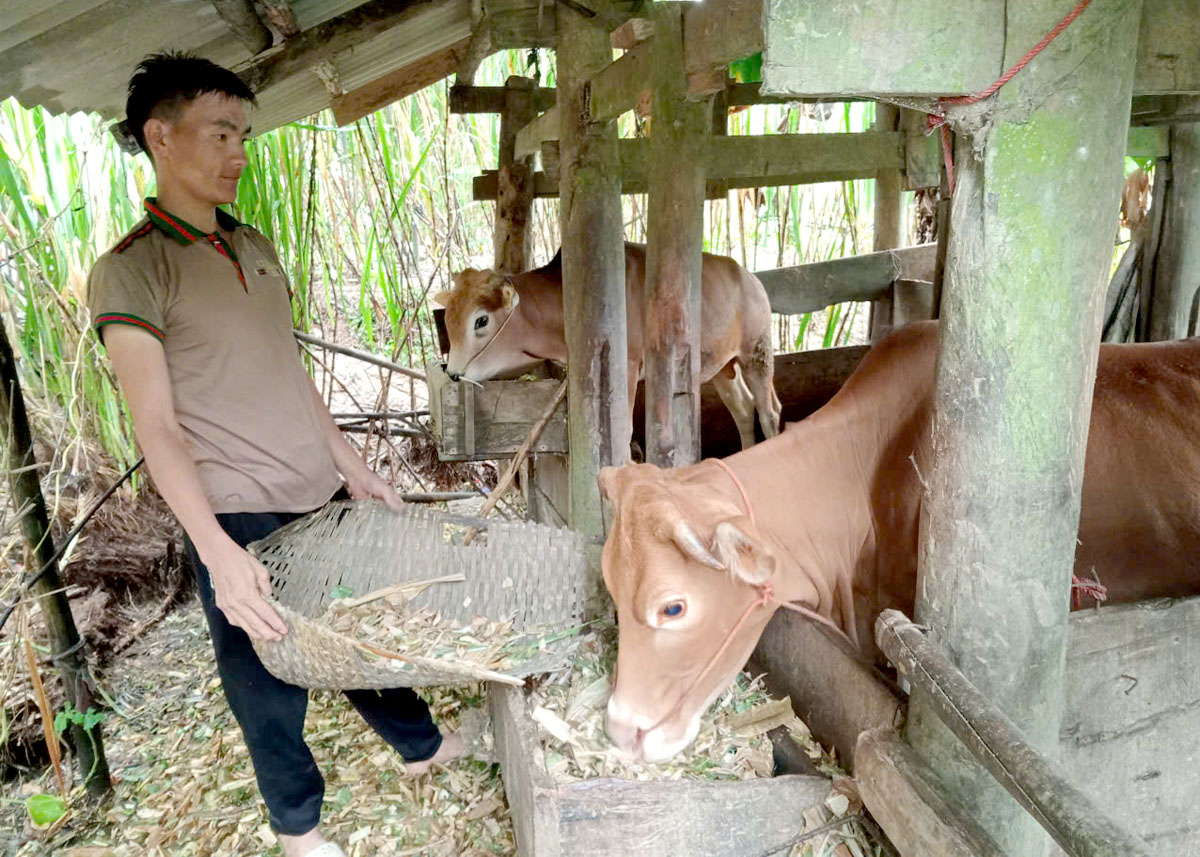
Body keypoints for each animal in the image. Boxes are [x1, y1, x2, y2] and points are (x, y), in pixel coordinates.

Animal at [436, 242, 782, 446]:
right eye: (448, 320)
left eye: (481, 321)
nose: (452, 372)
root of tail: (750, 277)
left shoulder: (626, 367)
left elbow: (623, 430)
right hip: (723, 367)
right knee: (743, 409)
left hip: (757, 352)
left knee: (769, 411)